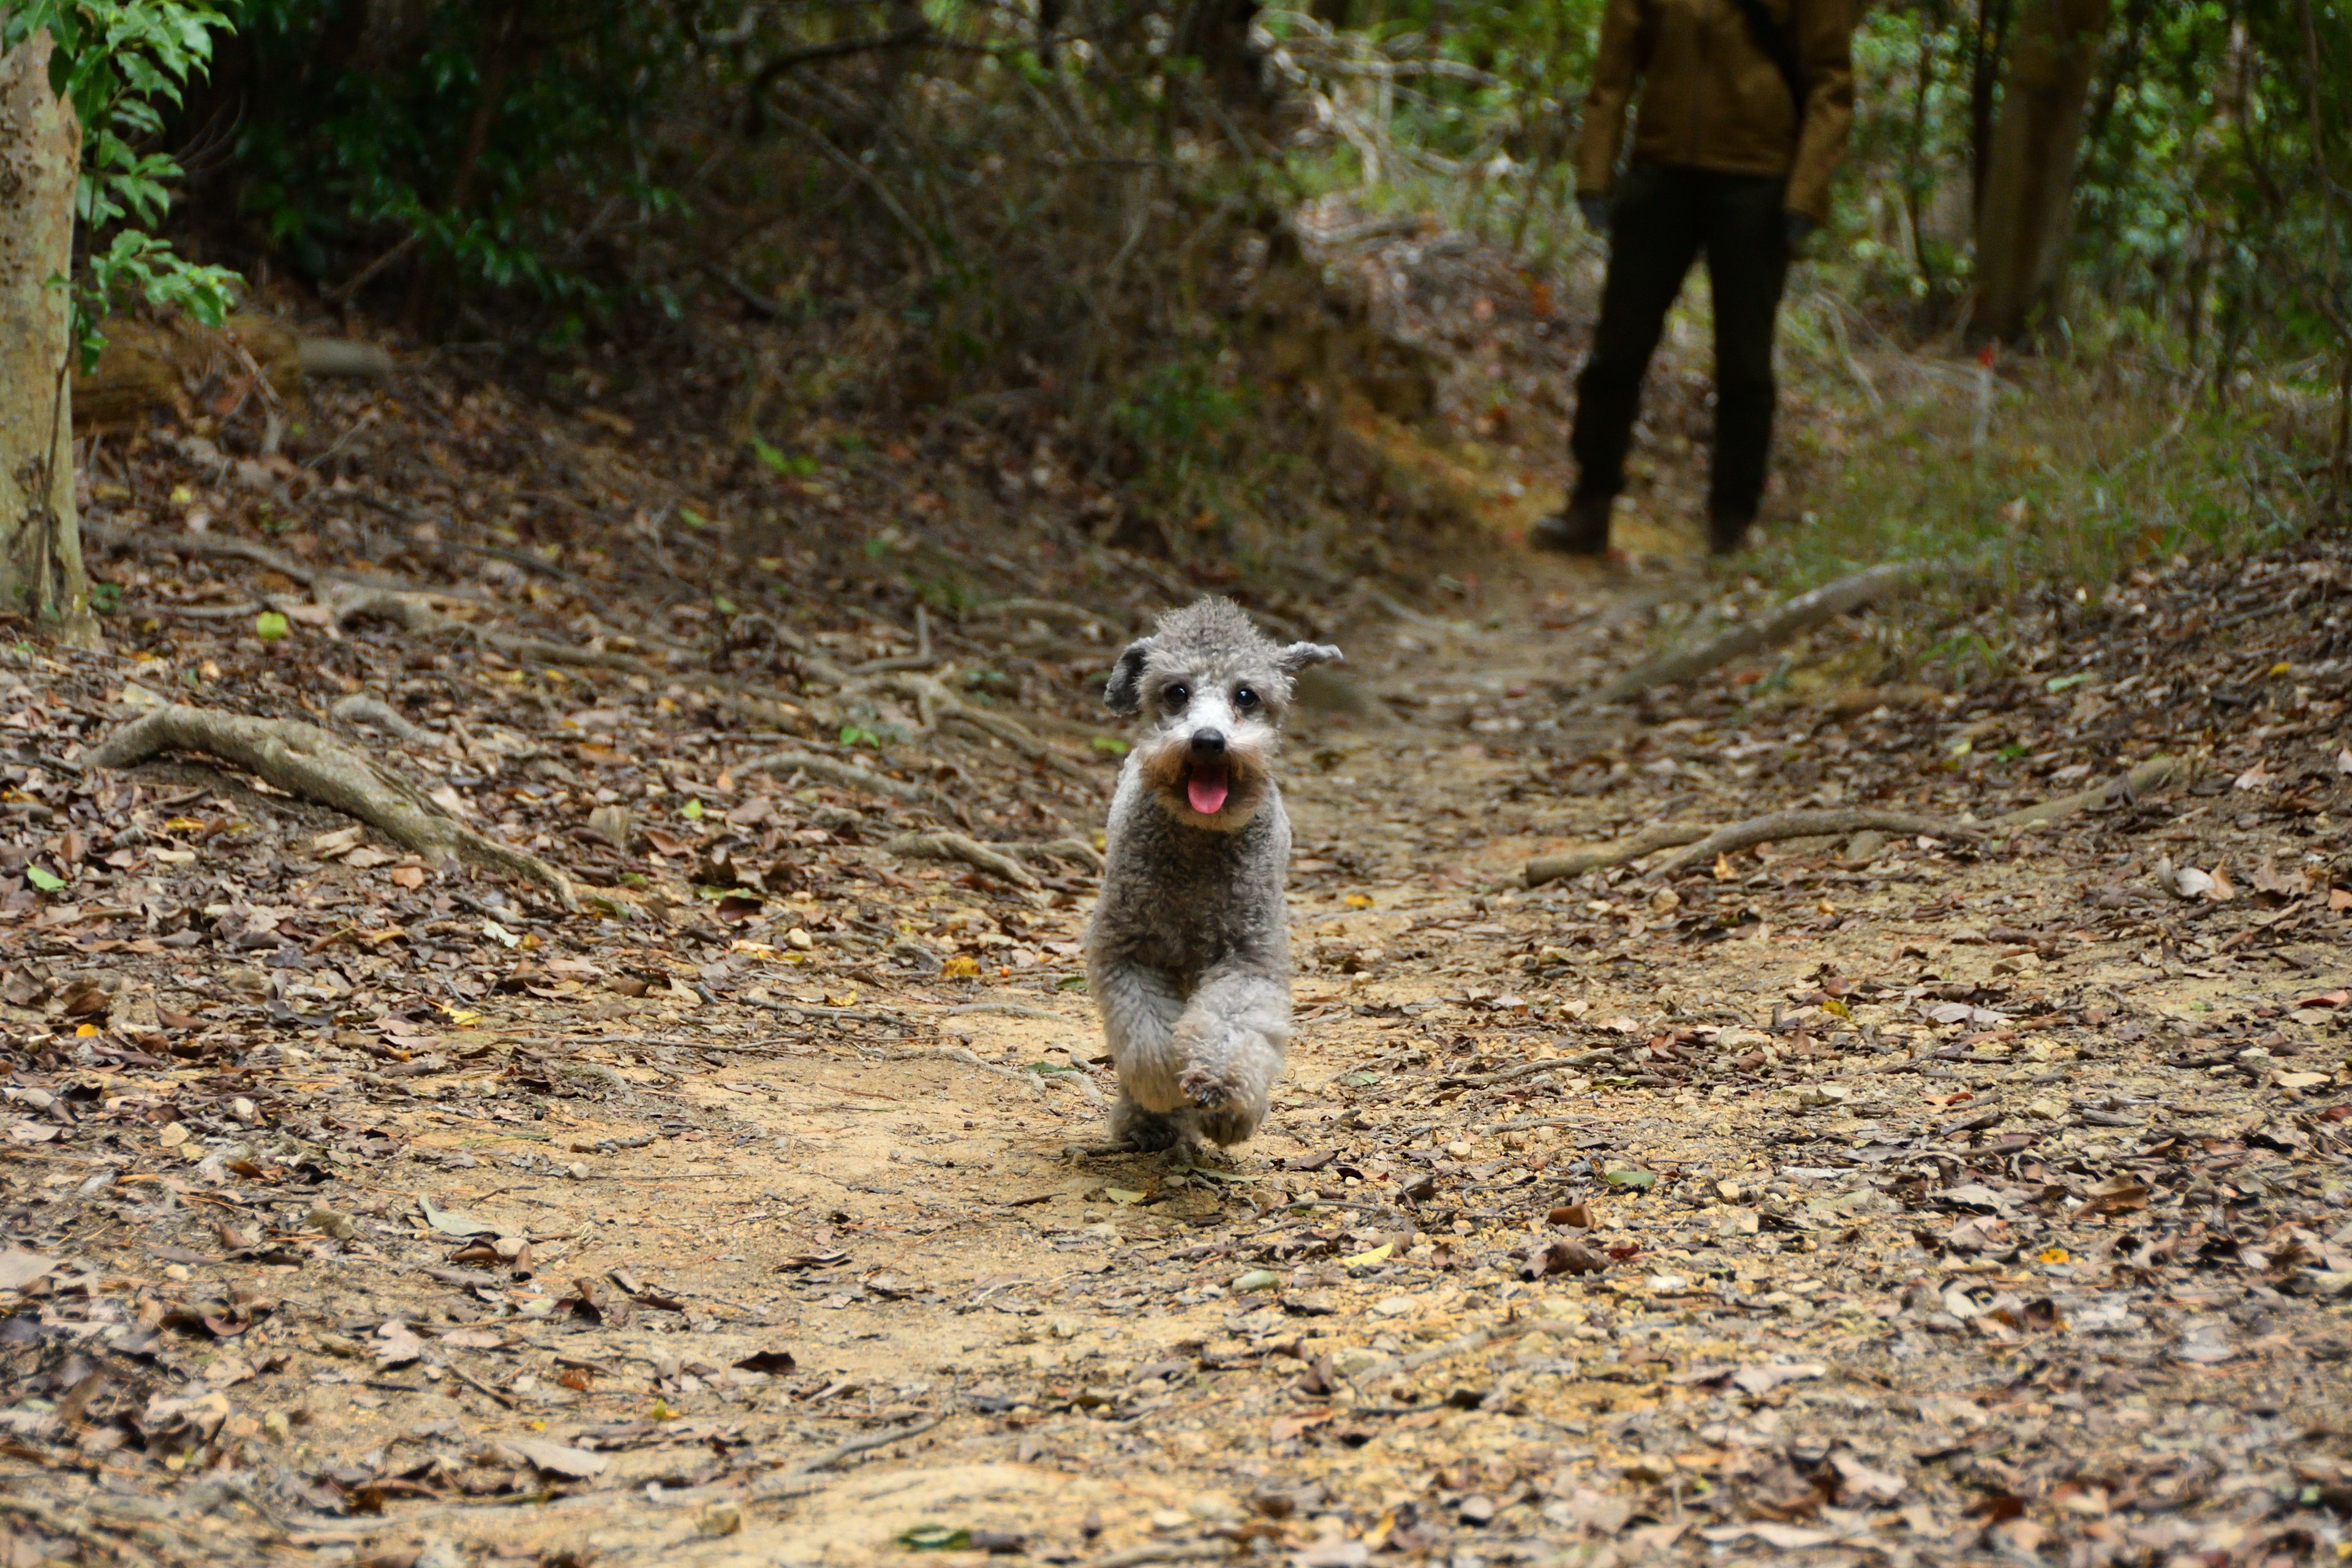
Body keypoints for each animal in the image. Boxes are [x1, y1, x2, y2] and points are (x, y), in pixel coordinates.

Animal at [1082, 601, 1345, 1152]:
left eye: (1246, 695)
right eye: (1176, 692)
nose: (1207, 741)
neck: (1199, 844)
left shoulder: (1247, 955)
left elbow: (1232, 1024)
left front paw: (1221, 1092)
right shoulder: (1128, 952)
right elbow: (1146, 1036)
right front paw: (1164, 1091)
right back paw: (1147, 1124)